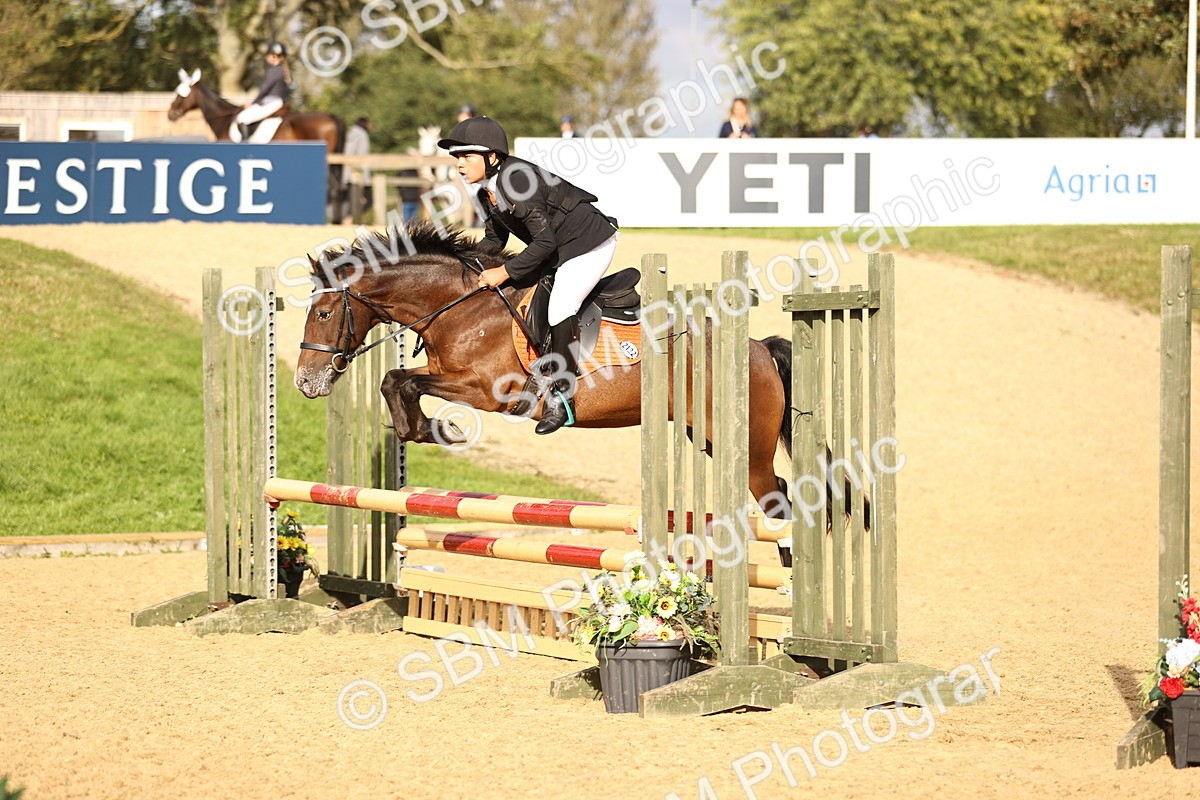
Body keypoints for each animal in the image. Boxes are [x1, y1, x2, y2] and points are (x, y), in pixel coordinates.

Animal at [292, 221, 796, 519]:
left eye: (323, 314)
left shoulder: (486, 390)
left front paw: (442, 430)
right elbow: (396, 383)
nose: (305, 381)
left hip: (746, 447)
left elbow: (401, 380)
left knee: (777, 499)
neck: (461, 306)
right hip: (708, 438)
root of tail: (758, 348)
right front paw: (429, 430)